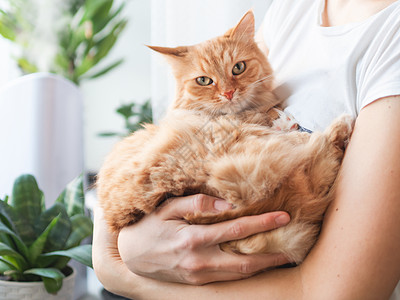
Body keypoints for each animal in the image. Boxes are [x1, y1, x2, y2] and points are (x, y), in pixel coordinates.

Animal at [97, 11, 354, 262]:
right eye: (204, 80)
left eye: (238, 68)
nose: (228, 93)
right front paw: (282, 120)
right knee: (322, 148)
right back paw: (340, 126)